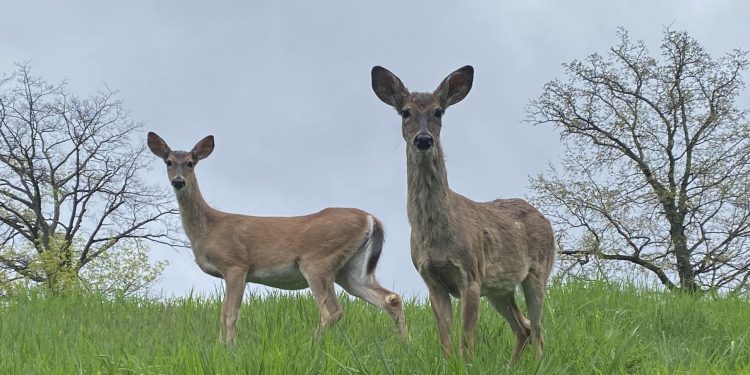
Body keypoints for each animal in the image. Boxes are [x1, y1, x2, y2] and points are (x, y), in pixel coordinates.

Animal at [146, 132, 406, 344]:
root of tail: (371, 218)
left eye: (191, 163)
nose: (178, 181)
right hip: (350, 269)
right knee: (390, 299)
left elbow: (229, 315)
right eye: (169, 162)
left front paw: (229, 348)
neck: (209, 227)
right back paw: (405, 345)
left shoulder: (236, 265)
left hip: (318, 260)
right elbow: (223, 315)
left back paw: (311, 345)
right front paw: (221, 347)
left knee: (332, 310)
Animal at [374, 66, 556, 362]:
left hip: (538, 270)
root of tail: (545, 219)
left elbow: (467, 339)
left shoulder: (470, 274)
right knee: (524, 327)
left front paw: (467, 364)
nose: (423, 139)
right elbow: (446, 339)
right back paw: (512, 366)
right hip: (500, 288)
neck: (436, 236)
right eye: (405, 112)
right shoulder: (431, 280)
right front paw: (449, 363)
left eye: (438, 111)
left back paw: (537, 363)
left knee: (539, 329)